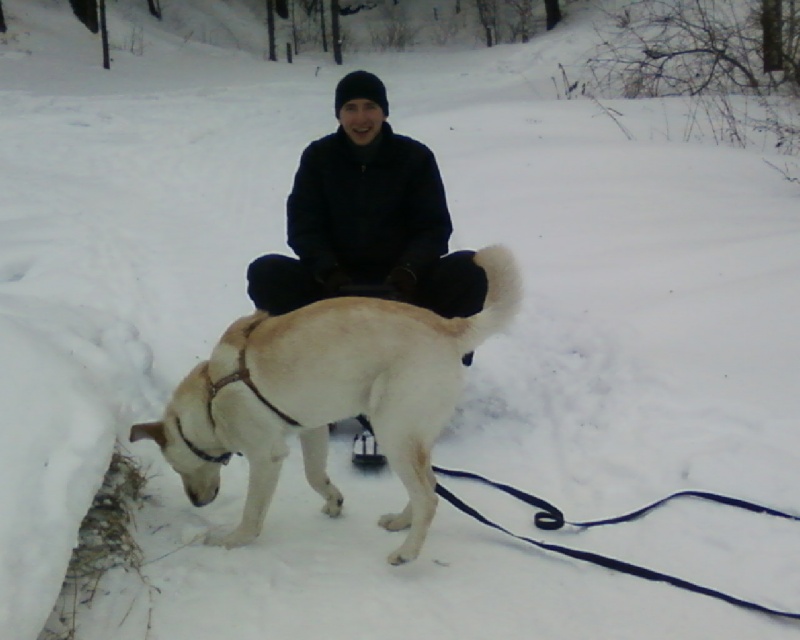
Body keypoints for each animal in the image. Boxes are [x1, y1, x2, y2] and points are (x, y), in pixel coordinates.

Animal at [130, 244, 522, 565]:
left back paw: (407, 552)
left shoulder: (265, 457)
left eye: (178, 468)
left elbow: (252, 515)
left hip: (392, 431)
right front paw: (334, 501)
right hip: (414, 437)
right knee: (431, 484)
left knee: (430, 498)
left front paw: (232, 541)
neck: (212, 395)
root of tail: (449, 326)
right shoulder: (312, 428)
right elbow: (315, 475)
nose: (197, 503)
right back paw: (400, 522)